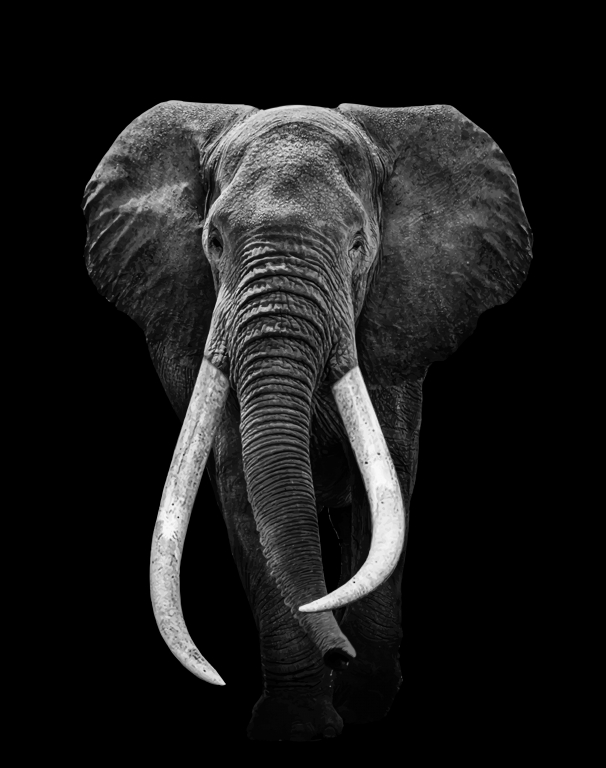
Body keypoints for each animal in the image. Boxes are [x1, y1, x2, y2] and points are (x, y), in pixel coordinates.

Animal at [82, 101, 532, 741]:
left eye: (359, 244)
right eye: (213, 240)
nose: (337, 654)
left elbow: (385, 490)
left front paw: (363, 705)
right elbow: (244, 492)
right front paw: (298, 725)